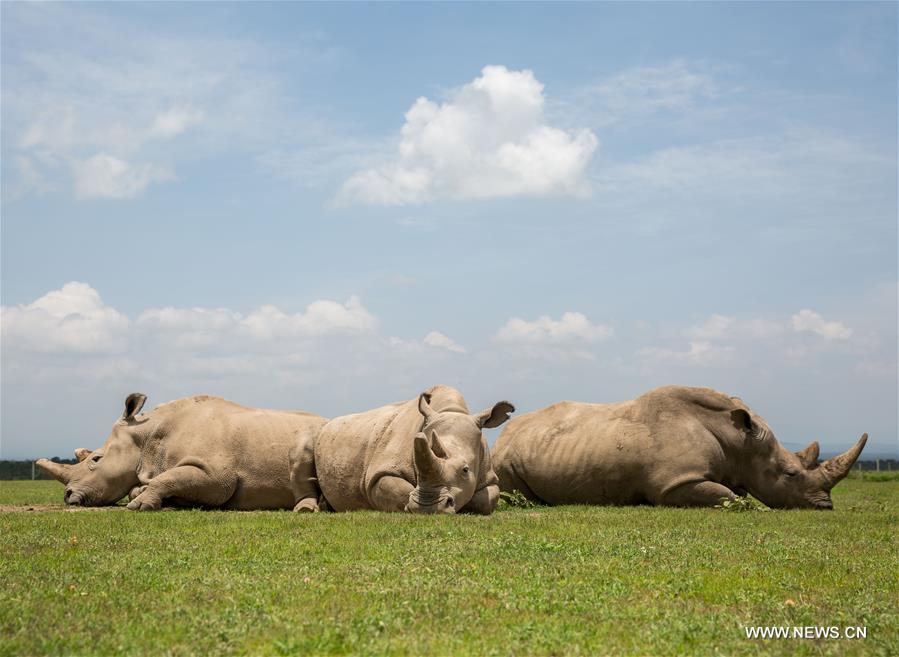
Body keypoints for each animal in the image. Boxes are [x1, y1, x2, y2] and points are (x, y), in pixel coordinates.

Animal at [36, 393, 327, 511]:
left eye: (96, 459)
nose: (68, 496)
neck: (147, 438)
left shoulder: (217, 477)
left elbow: (171, 479)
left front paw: (139, 505)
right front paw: (144, 494)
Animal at [294, 385, 513, 514]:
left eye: (465, 470)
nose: (428, 508)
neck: (451, 410)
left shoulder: (489, 475)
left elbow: (486, 500)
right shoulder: (379, 474)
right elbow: (399, 491)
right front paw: (410, 505)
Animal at [493, 385, 867, 509]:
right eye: (790, 473)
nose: (825, 507)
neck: (740, 443)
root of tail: (505, 435)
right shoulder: (675, 482)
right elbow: (732, 499)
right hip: (503, 459)